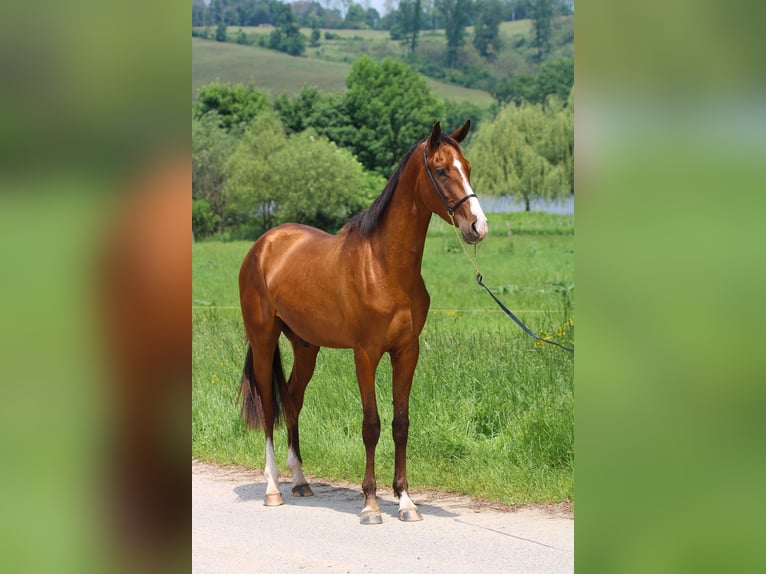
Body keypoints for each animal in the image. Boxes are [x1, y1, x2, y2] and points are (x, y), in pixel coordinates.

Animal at [240, 121, 488, 528]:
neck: (384, 266)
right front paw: (371, 504)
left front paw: (405, 501)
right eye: (440, 170)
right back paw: (273, 488)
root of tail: (263, 245)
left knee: (292, 400)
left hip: (306, 346)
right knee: (270, 407)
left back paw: (301, 481)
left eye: (466, 167)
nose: (477, 226)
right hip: (263, 340)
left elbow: (401, 424)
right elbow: (371, 425)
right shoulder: (366, 354)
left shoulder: (406, 352)